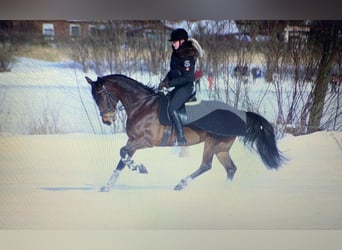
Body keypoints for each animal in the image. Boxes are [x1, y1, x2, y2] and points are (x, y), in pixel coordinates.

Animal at [86, 74, 286, 191]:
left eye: (101, 96)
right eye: (95, 98)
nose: (107, 120)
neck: (141, 105)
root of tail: (240, 113)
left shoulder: (146, 141)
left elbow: (123, 152)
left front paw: (141, 168)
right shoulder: (133, 140)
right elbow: (122, 158)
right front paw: (107, 186)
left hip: (212, 142)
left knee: (206, 165)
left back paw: (181, 184)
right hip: (222, 148)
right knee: (230, 168)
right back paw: (224, 190)